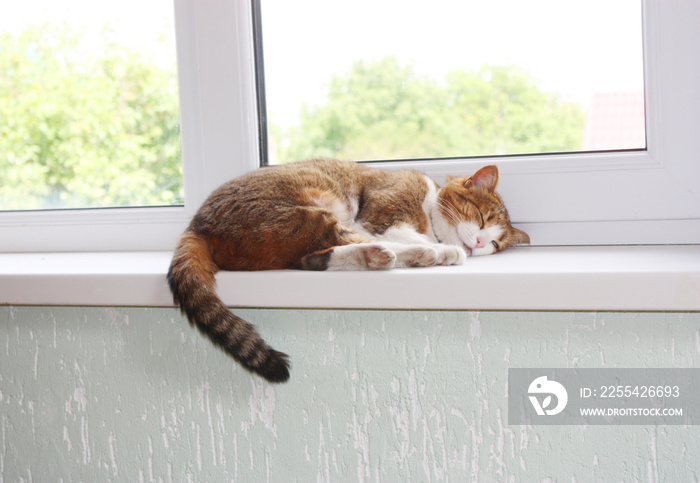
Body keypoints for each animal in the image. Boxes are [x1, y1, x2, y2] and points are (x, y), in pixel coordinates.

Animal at [167, 161, 528, 384]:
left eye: (495, 243)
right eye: (480, 216)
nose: (479, 243)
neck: (429, 217)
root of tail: (197, 223)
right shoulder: (381, 214)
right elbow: (398, 232)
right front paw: (438, 249)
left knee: (315, 258)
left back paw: (377, 257)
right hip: (300, 212)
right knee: (349, 239)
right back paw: (421, 254)